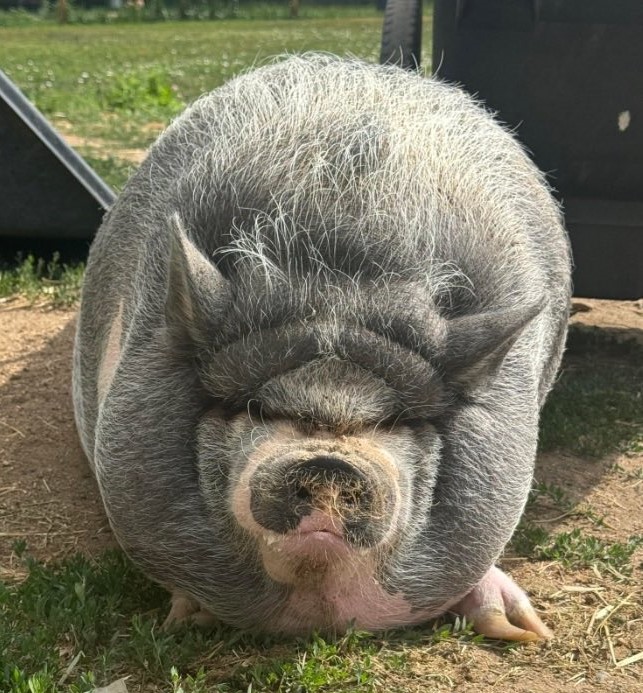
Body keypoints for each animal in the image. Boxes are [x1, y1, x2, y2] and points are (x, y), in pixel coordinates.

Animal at [73, 53, 571, 641]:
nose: (331, 465)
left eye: (396, 422)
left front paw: (527, 631)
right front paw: (183, 618)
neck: (339, 285)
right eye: (255, 409)